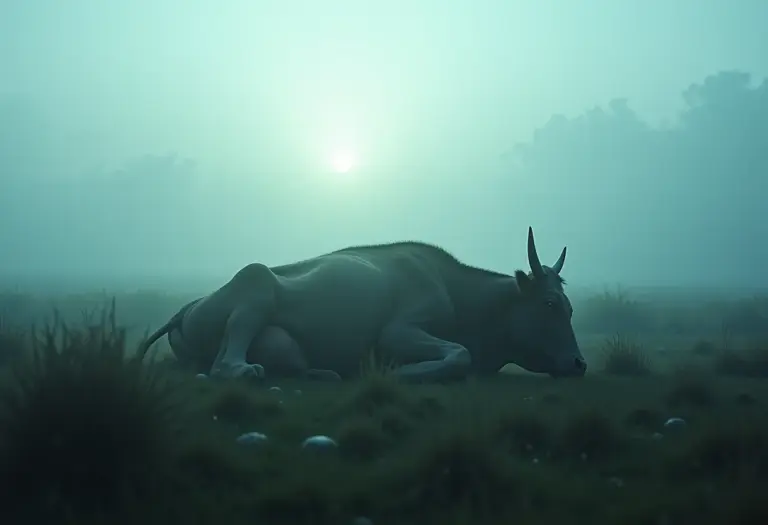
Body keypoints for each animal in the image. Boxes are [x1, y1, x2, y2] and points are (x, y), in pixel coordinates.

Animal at [138, 227, 586, 383]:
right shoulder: (398, 331)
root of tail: (185, 309)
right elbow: (460, 354)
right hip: (256, 283)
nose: (580, 363)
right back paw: (246, 369)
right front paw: (398, 372)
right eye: (549, 304)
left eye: (571, 308)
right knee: (223, 365)